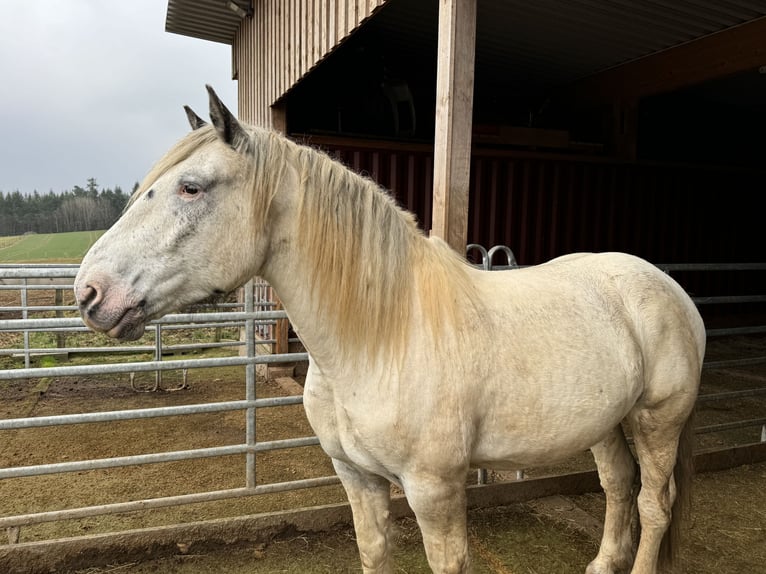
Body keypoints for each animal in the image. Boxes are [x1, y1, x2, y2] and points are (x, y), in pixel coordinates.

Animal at [75, 86, 704, 574]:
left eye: (192, 187)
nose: (89, 293)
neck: (381, 339)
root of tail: (668, 289)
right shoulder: (358, 478)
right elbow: (373, 551)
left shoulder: (435, 491)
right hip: (608, 422)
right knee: (618, 485)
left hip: (658, 421)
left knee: (653, 502)